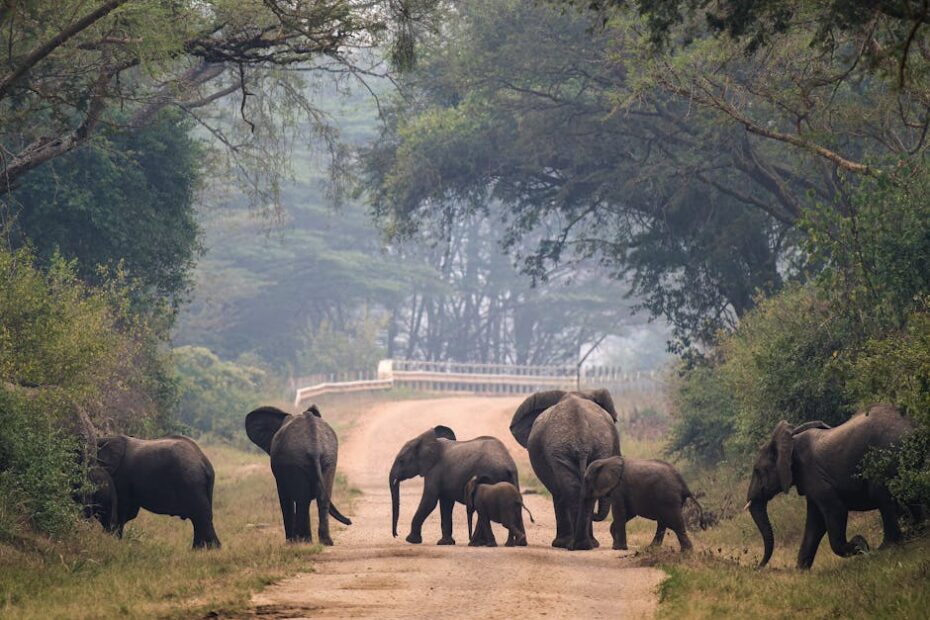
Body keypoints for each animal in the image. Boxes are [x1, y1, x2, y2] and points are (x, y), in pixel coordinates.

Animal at [245, 404, 351, 545]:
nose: (349, 521)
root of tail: (314, 446)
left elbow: (285, 498)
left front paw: (290, 543)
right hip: (328, 458)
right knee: (321, 497)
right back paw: (325, 542)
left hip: (298, 460)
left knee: (303, 500)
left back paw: (305, 541)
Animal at [390, 425, 519, 545]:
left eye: (401, 461)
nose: (396, 534)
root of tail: (509, 466)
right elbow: (446, 503)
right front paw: (445, 543)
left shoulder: (434, 470)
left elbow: (430, 501)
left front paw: (411, 540)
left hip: (492, 476)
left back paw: (476, 543)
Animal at [510, 389, 620, 550]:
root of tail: (582, 441)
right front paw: (560, 543)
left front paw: (559, 543)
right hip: (565, 450)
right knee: (576, 492)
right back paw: (582, 545)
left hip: (576, 449)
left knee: (574, 491)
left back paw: (580, 544)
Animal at [747, 403, 915, 569]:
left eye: (758, 471)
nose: (758, 567)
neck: (790, 440)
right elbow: (815, 523)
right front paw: (801, 570)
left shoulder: (815, 476)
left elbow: (836, 511)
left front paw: (860, 545)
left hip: (885, 455)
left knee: (881, 495)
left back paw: (886, 547)